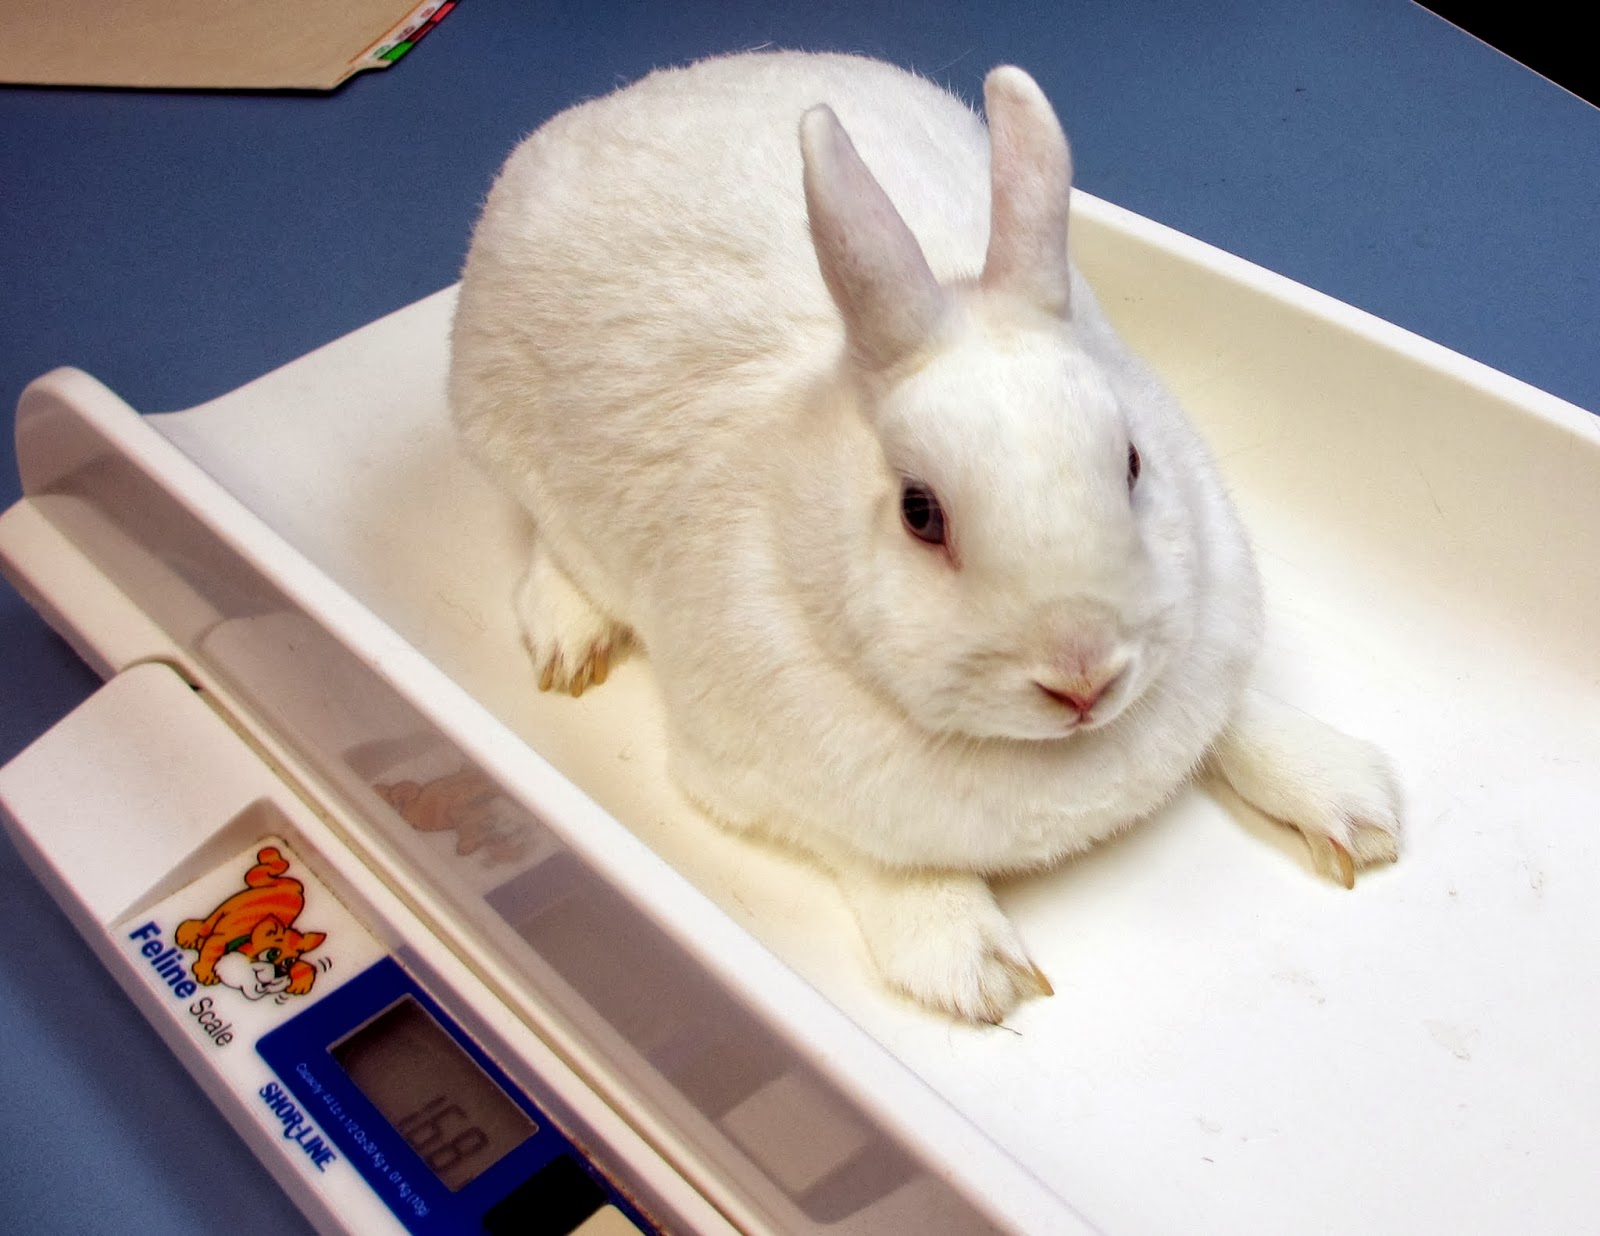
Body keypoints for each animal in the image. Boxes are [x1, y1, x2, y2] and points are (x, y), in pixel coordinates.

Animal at [449, 51, 1402, 1023]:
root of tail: (636, 93)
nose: (1084, 678)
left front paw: (1354, 804)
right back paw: (568, 639)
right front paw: (975, 968)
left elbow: (1233, 719)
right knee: (552, 544)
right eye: (920, 512)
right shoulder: (756, 782)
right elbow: (877, 860)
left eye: (1133, 461)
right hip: (507, 442)